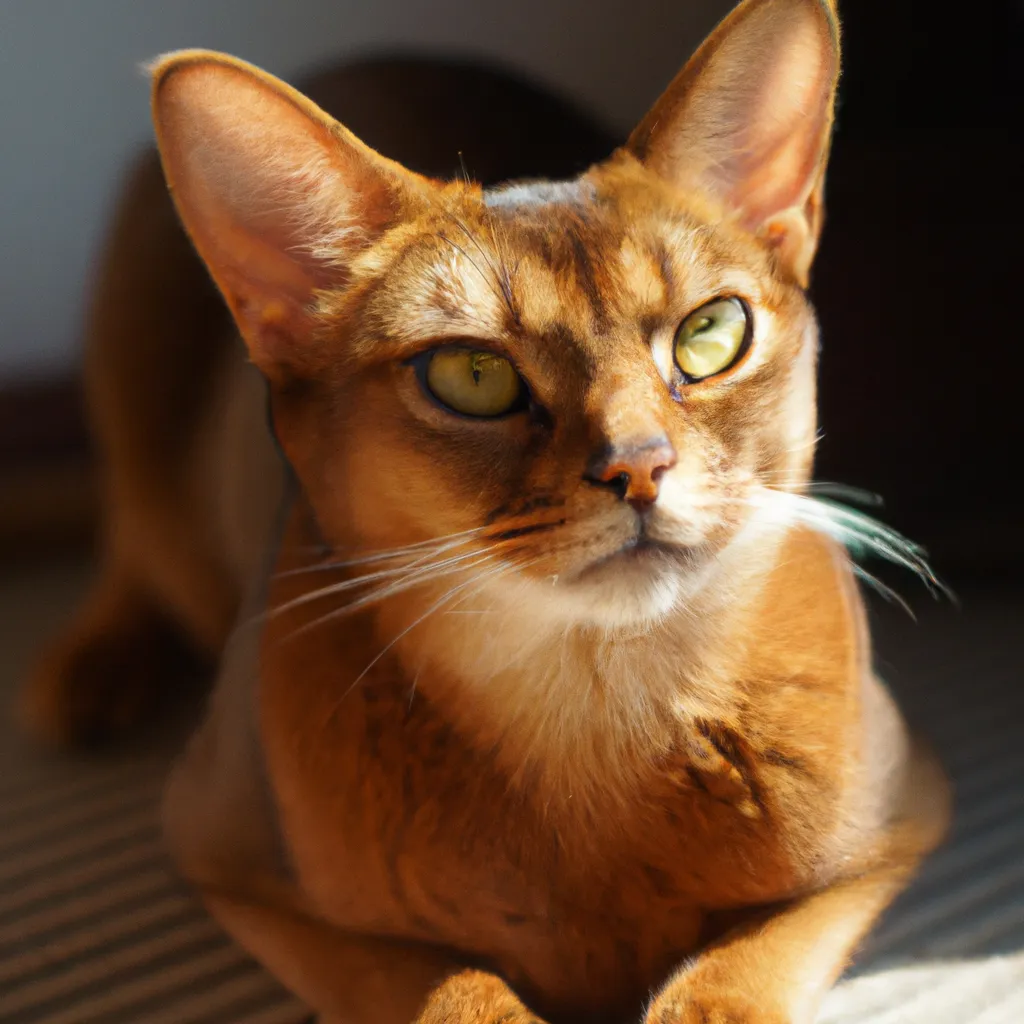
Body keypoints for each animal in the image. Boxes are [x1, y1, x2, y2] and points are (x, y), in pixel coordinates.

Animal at [25, 2, 950, 1024]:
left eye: (711, 334)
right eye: (473, 376)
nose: (640, 465)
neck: (597, 710)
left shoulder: (892, 827)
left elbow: (728, 980)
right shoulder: (239, 867)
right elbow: (455, 990)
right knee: (130, 532)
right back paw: (87, 672)